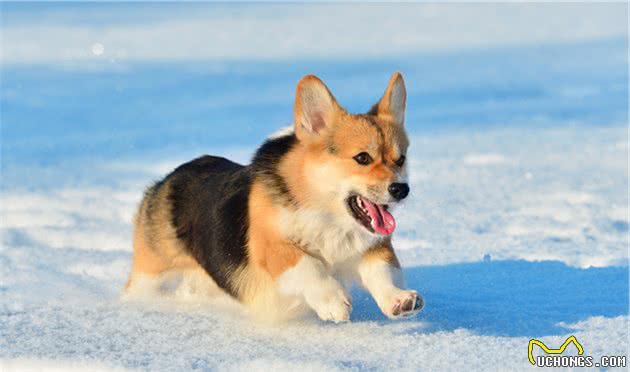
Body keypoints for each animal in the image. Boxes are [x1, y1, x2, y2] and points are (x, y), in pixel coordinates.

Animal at [126, 72, 424, 322]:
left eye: (401, 159)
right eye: (362, 158)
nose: (401, 189)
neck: (323, 211)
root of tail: (168, 179)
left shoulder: (373, 246)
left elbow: (383, 271)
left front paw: (400, 300)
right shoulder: (269, 245)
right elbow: (309, 264)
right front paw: (333, 302)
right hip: (150, 275)